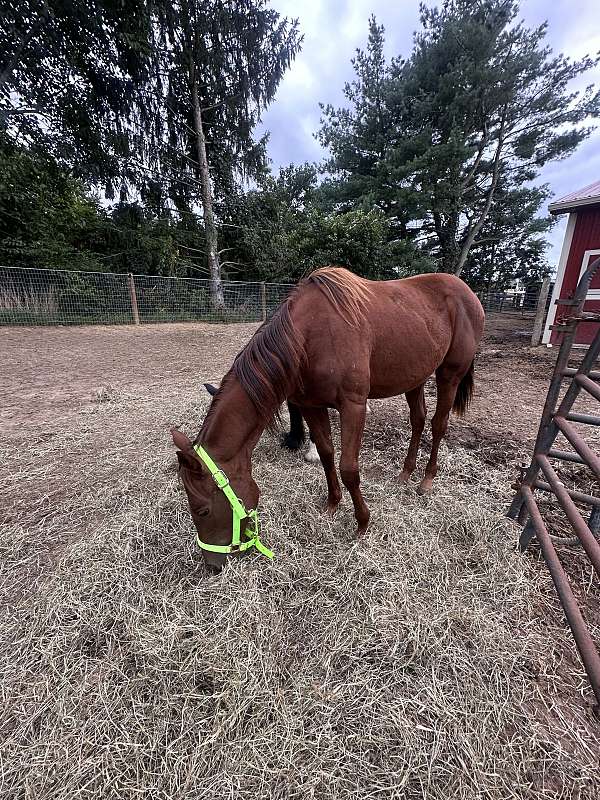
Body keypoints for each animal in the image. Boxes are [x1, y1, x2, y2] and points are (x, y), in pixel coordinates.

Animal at [172, 266, 485, 570]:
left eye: (202, 510)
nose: (212, 566)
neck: (308, 337)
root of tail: (468, 293)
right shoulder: (311, 406)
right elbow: (325, 454)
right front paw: (333, 505)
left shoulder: (353, 406)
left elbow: (349, 469)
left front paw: (362, 523)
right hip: (414, 377)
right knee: (418, 421)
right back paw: (405, 474)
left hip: (449, 375)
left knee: (438, 425)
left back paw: (426, 481)